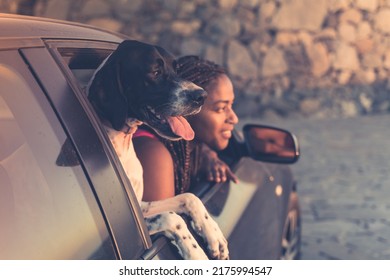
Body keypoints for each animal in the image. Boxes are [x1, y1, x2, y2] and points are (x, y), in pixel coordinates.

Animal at [88, 40, 229, 260]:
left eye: (177, 69)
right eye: (155, 72)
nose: (202, 96)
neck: (122, 142)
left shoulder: (141, 206)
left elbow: (189, 197)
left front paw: (213, 233)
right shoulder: (138, 221)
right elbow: (172, 218)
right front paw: (195, 253)